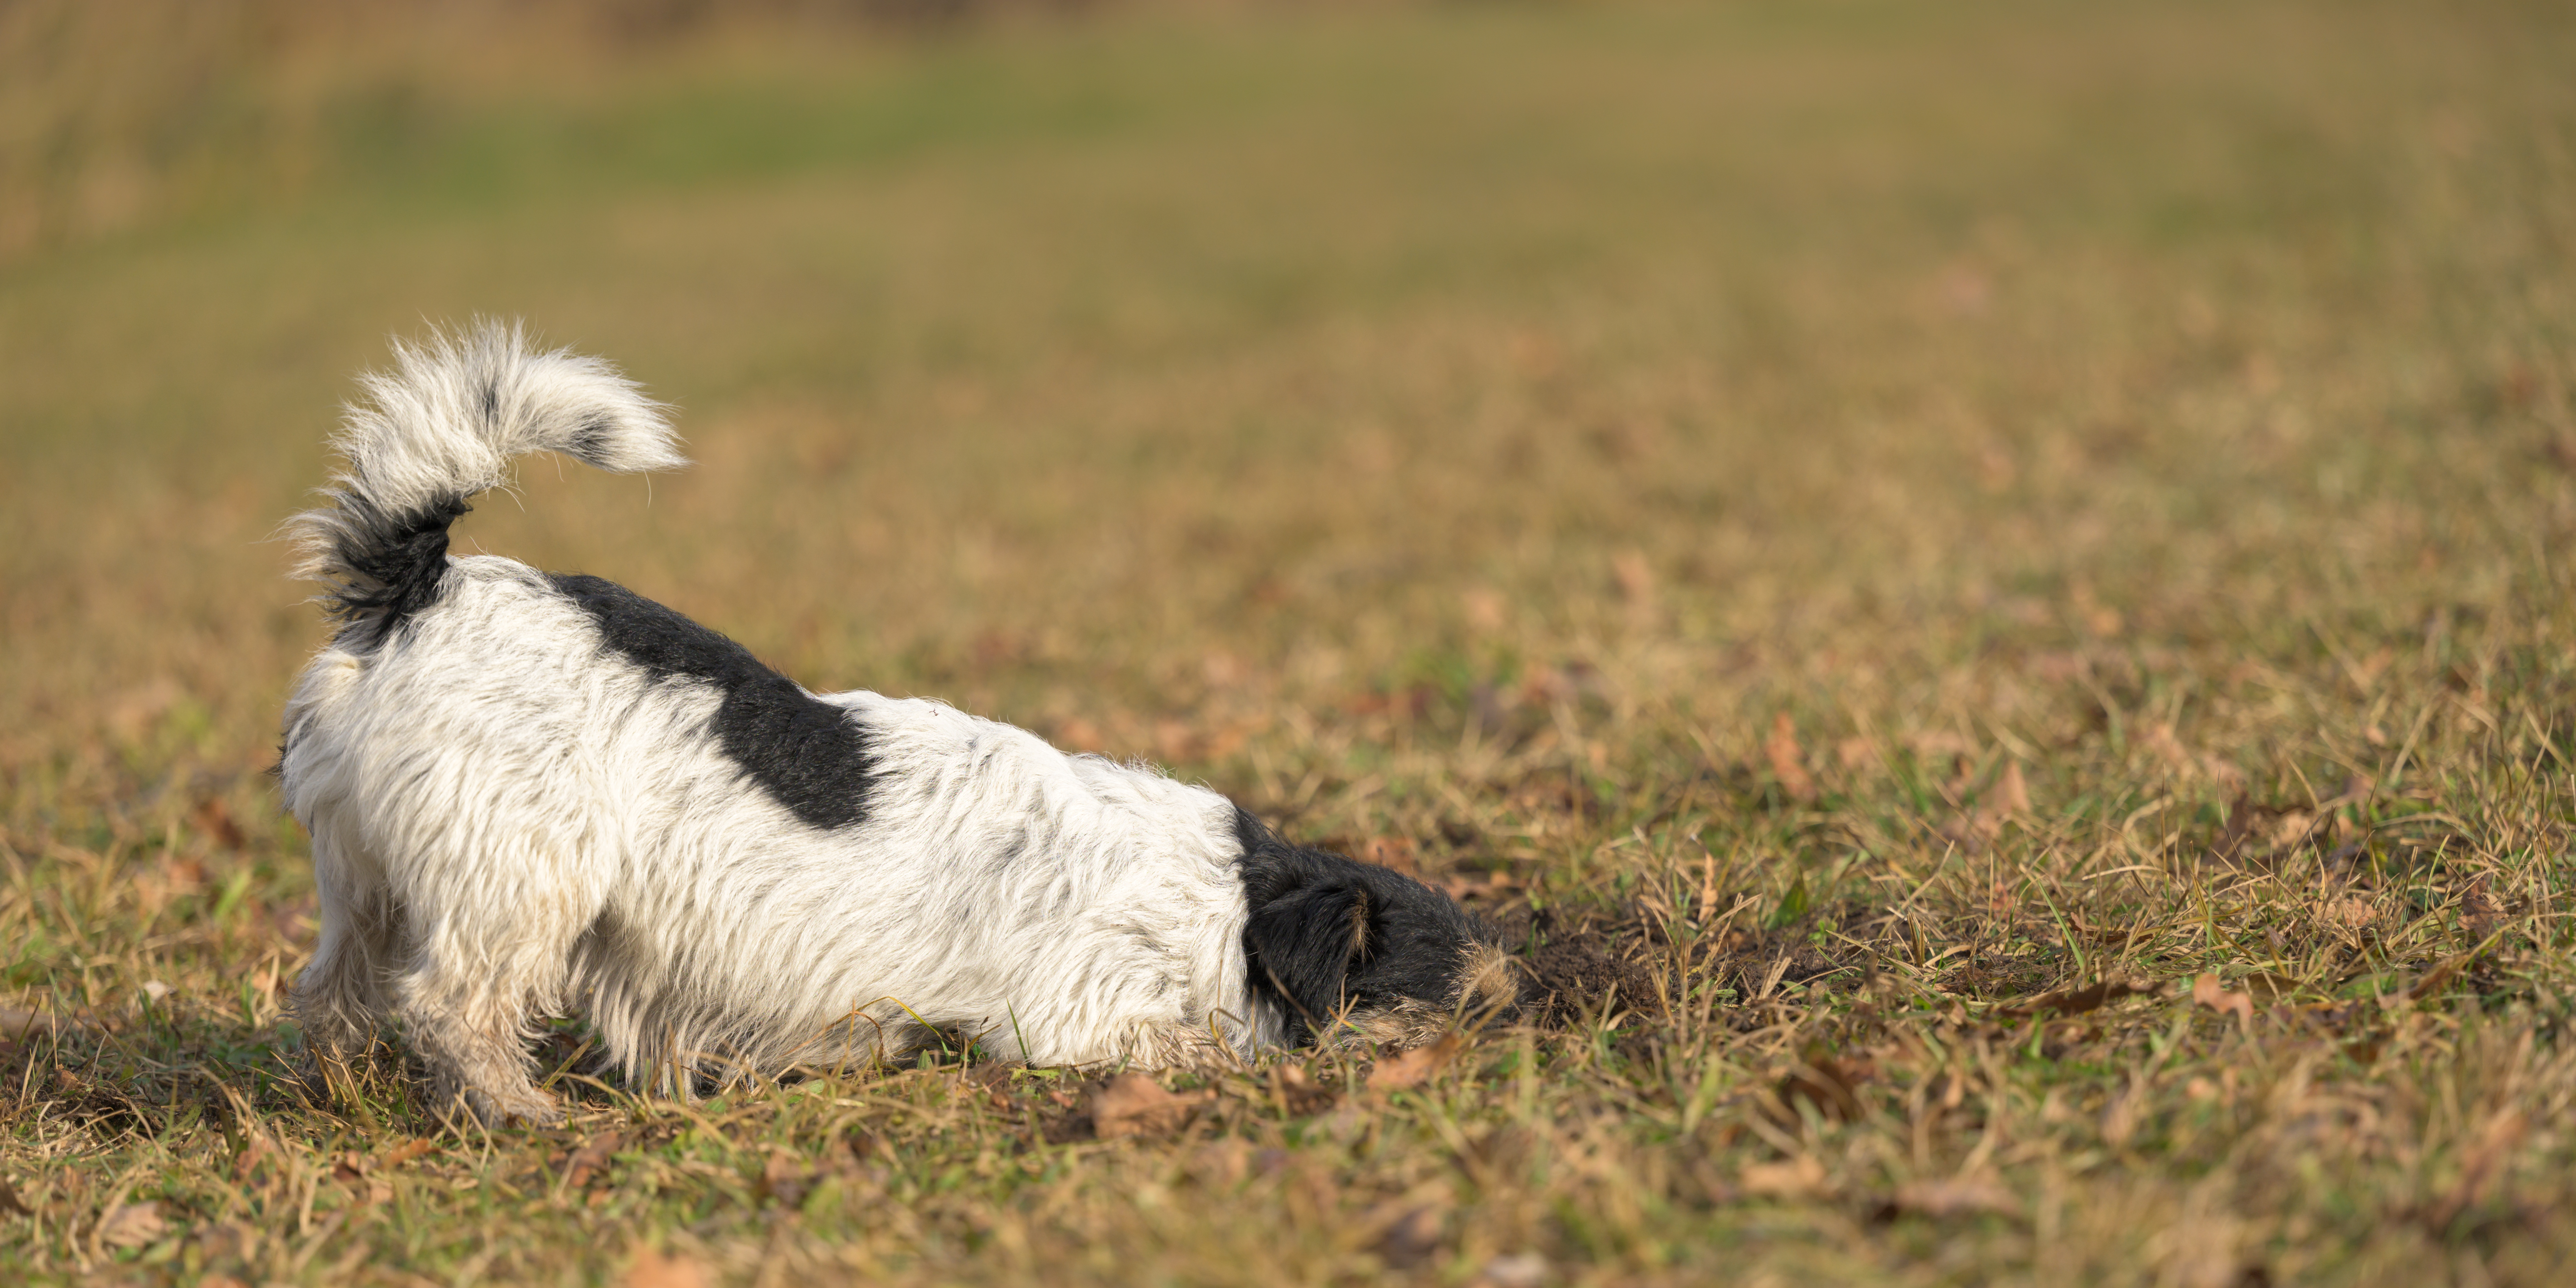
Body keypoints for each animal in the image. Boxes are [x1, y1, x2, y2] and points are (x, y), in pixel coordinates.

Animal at [277, 324, 1525, 1128]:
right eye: (1454, 1015)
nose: (1528, 1057)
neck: (1240, 904)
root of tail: (422, 587)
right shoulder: (1080, 1015)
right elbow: (1188, 1047)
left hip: (371, 880)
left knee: (333, 994)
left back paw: (346, 1094)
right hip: (521, 872)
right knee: (452, 1005)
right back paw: (516, 1112)